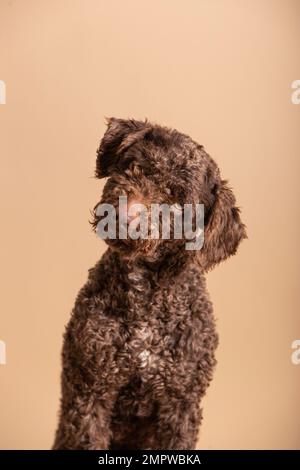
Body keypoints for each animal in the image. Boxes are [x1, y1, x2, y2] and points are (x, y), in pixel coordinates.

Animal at [53, 116, 246, 448]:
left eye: (179, 201)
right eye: (135, 166)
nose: (126, 212)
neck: (145, 300)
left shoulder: (180, 406)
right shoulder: (90, 391)